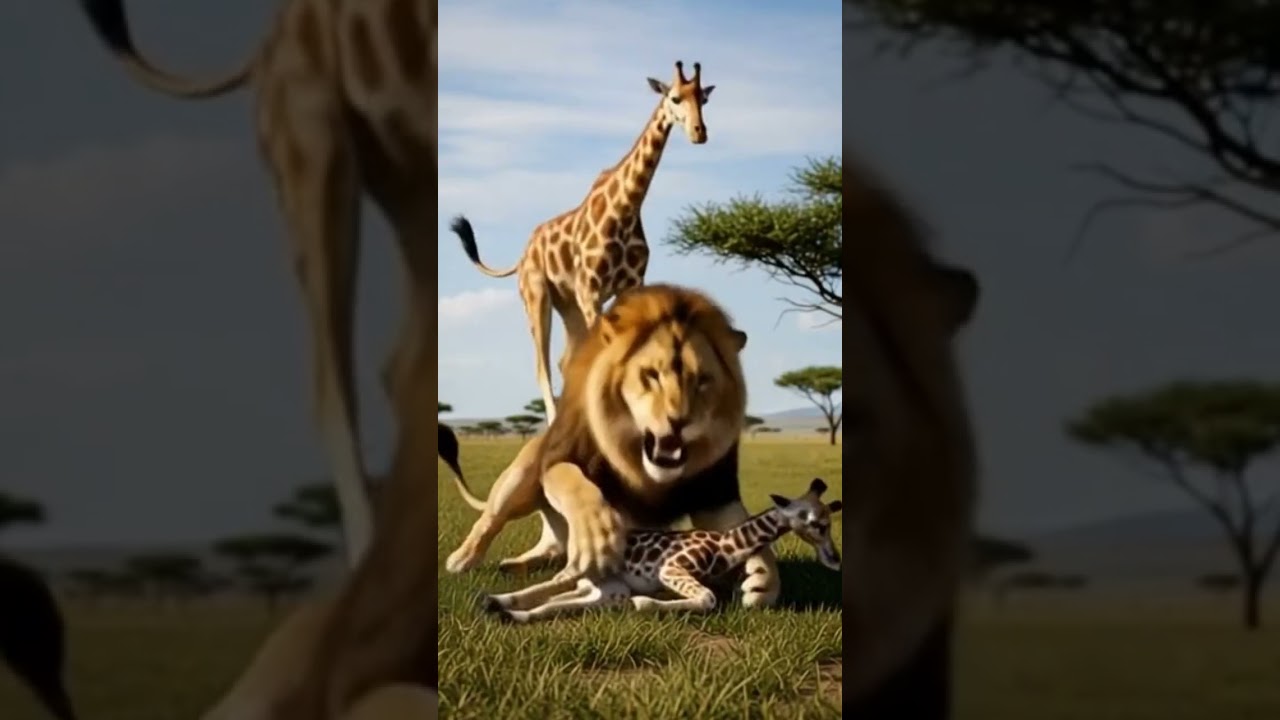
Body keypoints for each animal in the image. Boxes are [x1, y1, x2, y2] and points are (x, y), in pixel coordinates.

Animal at [445, 283, 780, 609]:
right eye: (651, 375)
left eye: (702, 380)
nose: (679, 421)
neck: (644, 469)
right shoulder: (561, 457)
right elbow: (573, 481)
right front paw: (598, 535)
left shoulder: (715, 491)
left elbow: (751, 535)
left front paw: (762, 581)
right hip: (522, 477)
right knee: (492, 519)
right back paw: (463, 560)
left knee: (551, 549)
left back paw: (520, 565)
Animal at [450, 60, 716, 427]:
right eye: (675, 98)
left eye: (703, 99)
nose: (699, 132)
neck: (626, 210)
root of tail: (523, 254)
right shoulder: (590, 289)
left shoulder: (628, 286)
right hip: (537, 297)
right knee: (542, 365)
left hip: (569, 305)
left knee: (565, 361)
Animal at [482, 478, 842, 624]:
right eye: (816, 523)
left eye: (829, 520)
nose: (834, 560)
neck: (724, 546)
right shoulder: (671, 569)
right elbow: (708, 599)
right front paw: (647, 604)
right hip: (589, 572)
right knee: (548, 585)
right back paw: (494, 600)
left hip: (609, 589)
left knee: (559, 600)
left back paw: (506, 612)